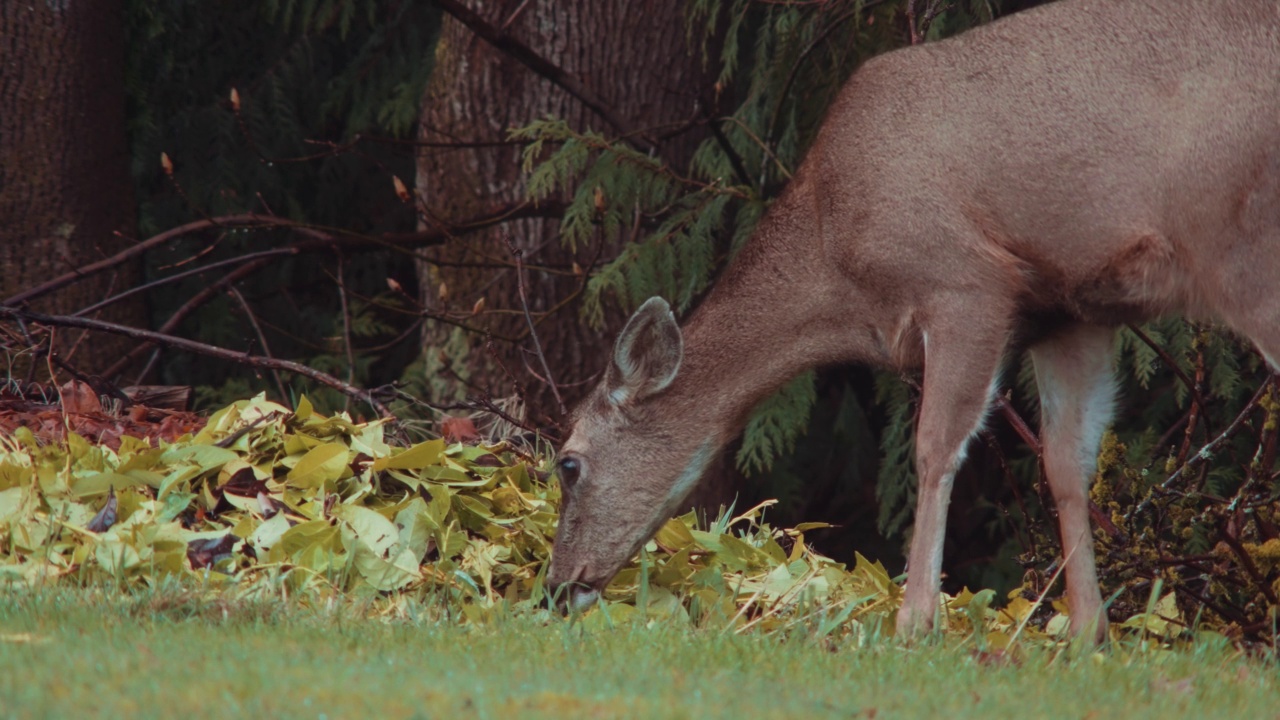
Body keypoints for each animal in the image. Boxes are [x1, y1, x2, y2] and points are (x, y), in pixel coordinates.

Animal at [542, 0, 1280, 638]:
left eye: (568, 462)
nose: (555, 588)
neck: (836, 254)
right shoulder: (1072, 310)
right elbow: (1067, 463)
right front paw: (1086, 633)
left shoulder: (966, 282)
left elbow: (934, 448)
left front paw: (914, 620)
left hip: (1241, 246)